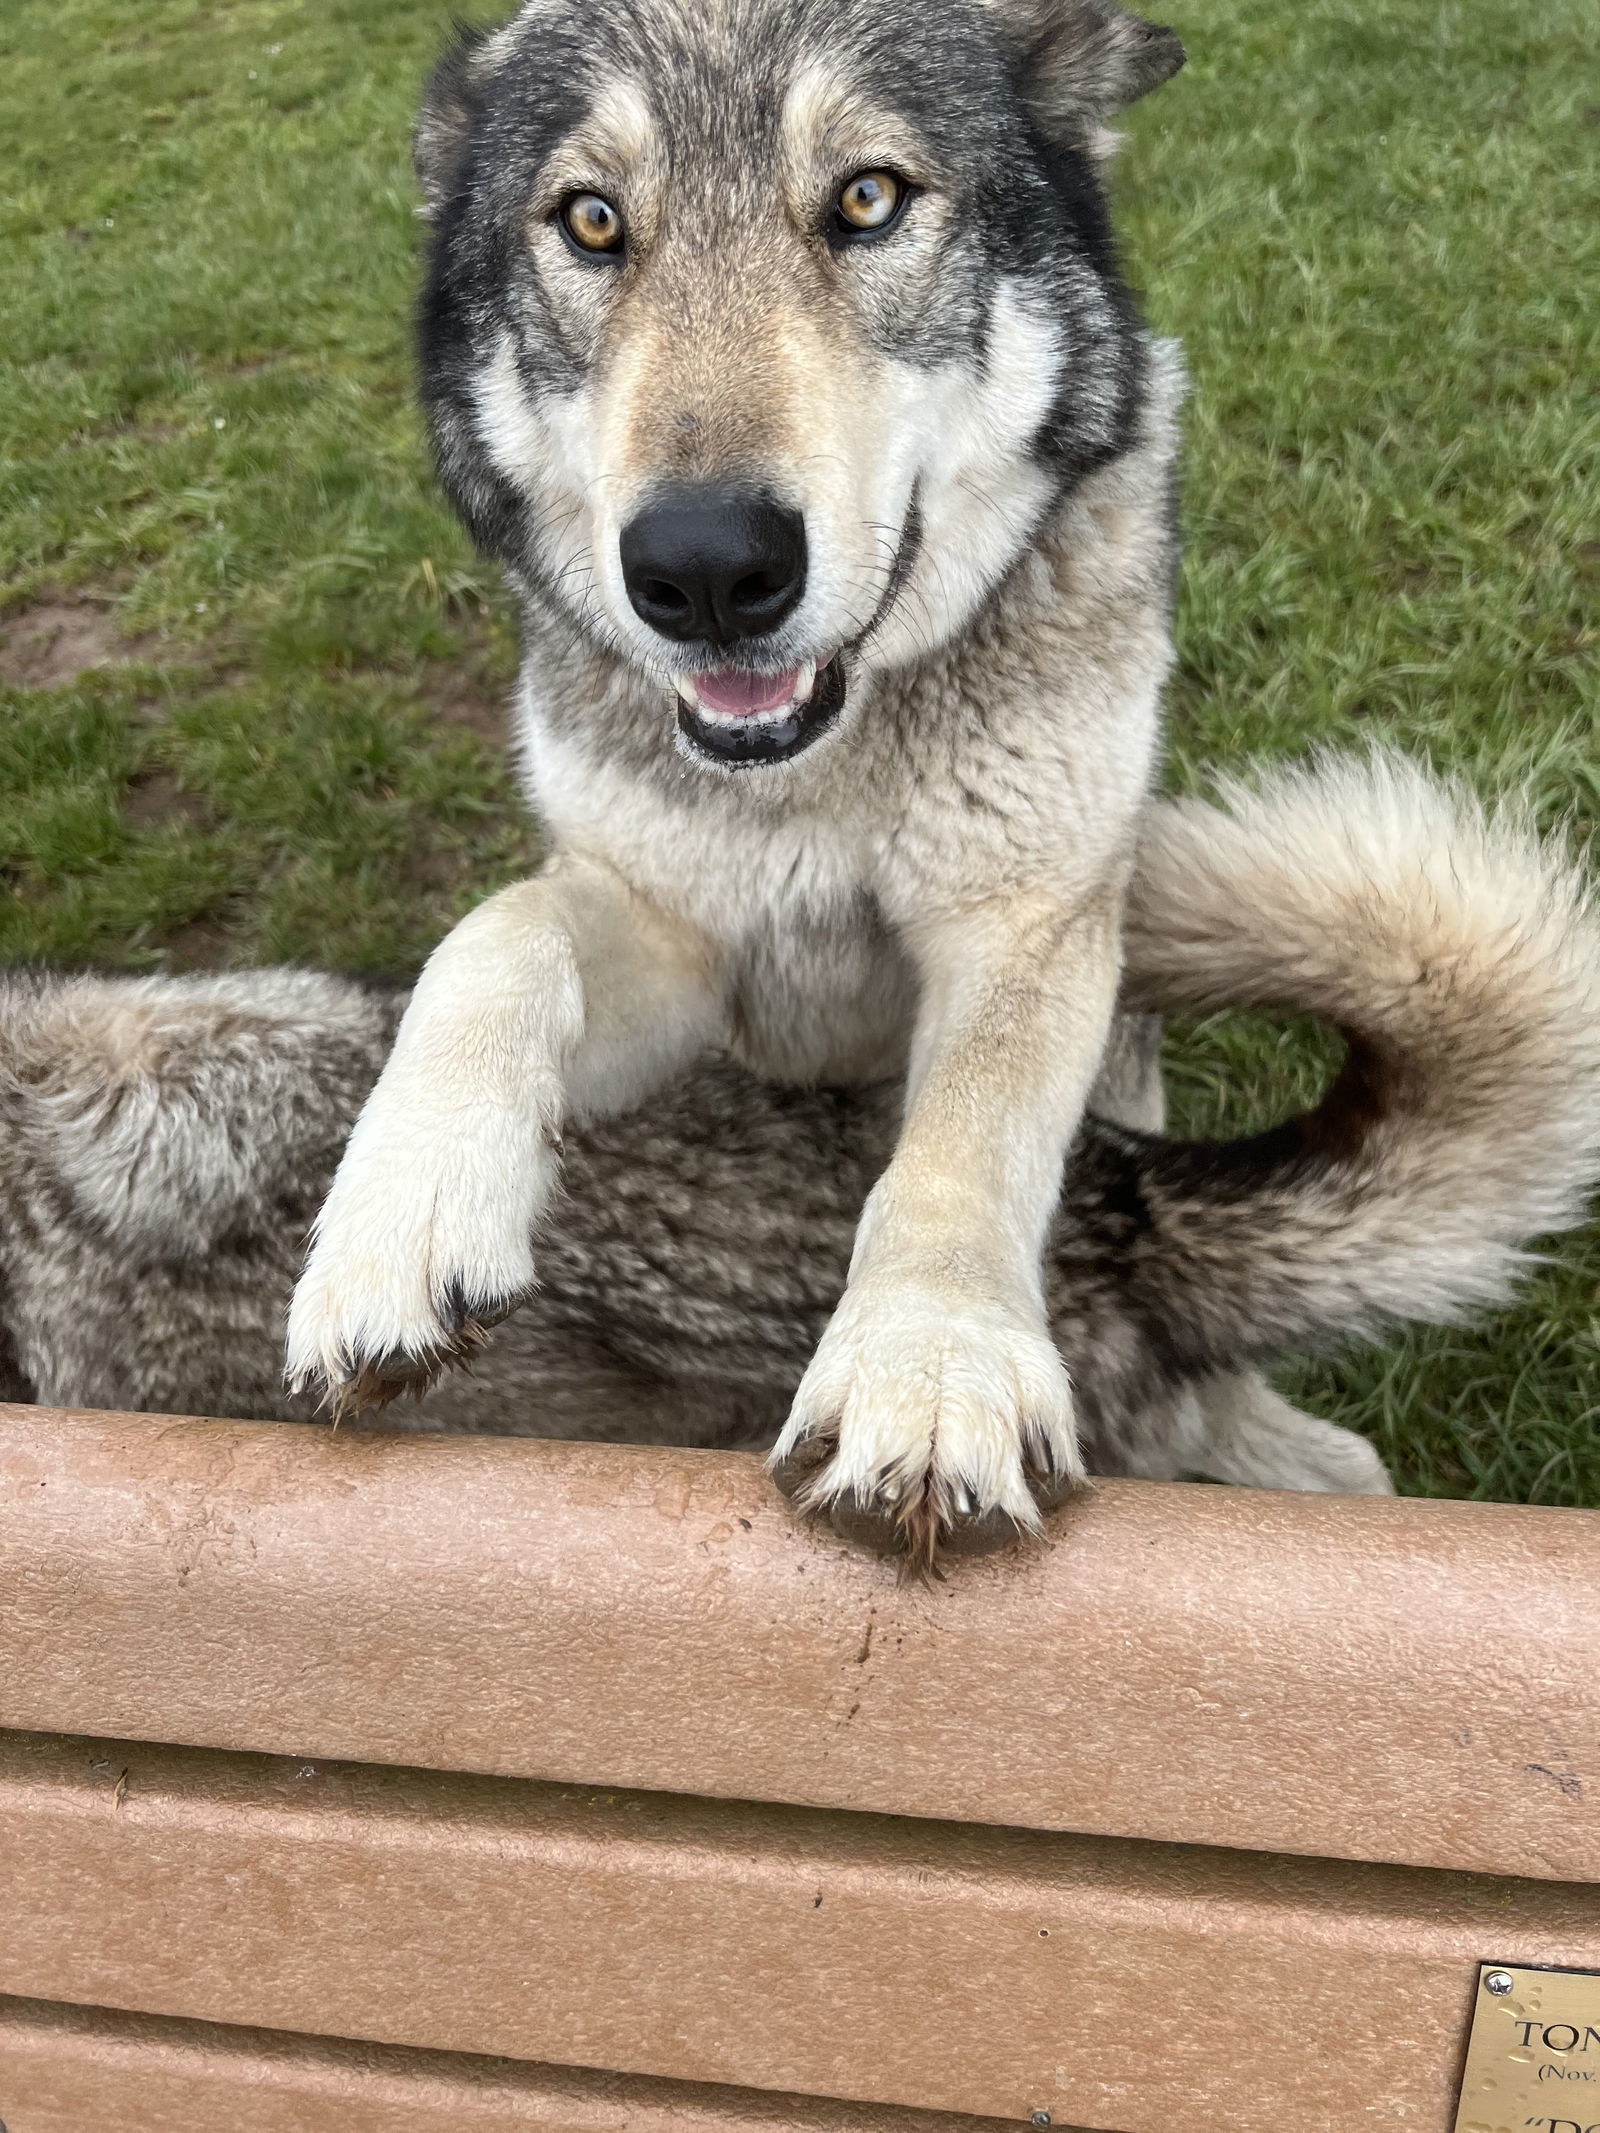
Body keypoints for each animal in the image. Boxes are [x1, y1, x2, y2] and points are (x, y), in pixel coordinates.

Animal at [275, 0, 1600, 1561]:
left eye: (868, 199)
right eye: (591, 222)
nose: (705, 569)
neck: (825, 776)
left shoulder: (1020, 932)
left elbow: (960, 1146)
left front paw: (930, 1365)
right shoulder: (681, 952)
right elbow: (495, 932)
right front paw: (399, 1216)